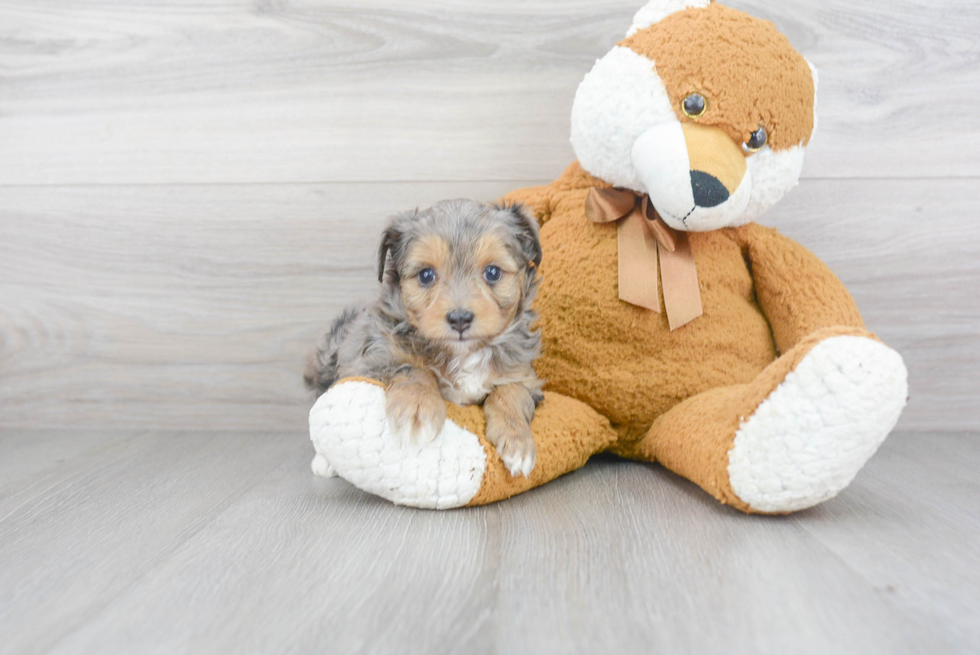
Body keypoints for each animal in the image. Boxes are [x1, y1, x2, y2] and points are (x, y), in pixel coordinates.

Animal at [306, 199, 544, 476]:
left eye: (493, 272)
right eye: (426, 275)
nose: (460, 318)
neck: (462, 354)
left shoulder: (524, 376)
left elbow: (510, 392)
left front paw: (517, 442)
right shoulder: (372, 358)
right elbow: (414, 370)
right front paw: (417, 410)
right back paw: (324, 461)